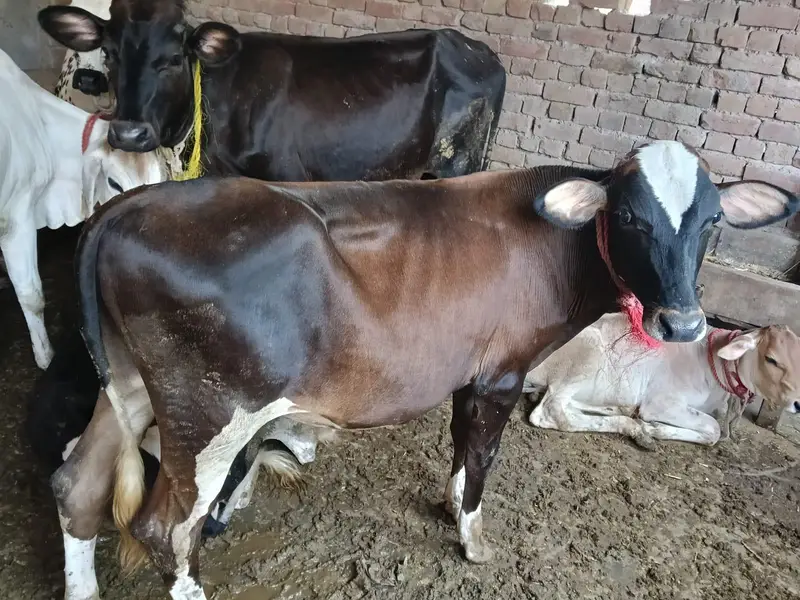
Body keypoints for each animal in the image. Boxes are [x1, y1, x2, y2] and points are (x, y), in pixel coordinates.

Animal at [523, 313, 800, 448]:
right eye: (771, 359)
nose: (798, 403)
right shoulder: (661, 402)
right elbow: (713, 428)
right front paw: (655, 428)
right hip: (584, 357)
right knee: (552, 412)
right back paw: (634, 427)